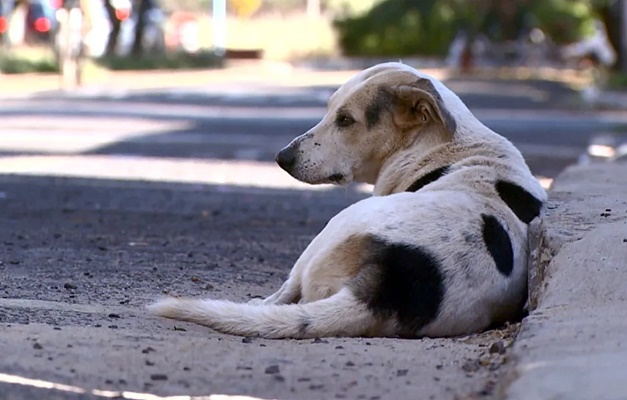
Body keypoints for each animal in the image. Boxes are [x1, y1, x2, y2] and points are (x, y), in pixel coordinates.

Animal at [150, 61, 548, 338]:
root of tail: (387, 284)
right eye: (329, 110)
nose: (282, 158)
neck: (444, 144)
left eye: (345, 120)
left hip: (334, 228)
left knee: (287, 291)